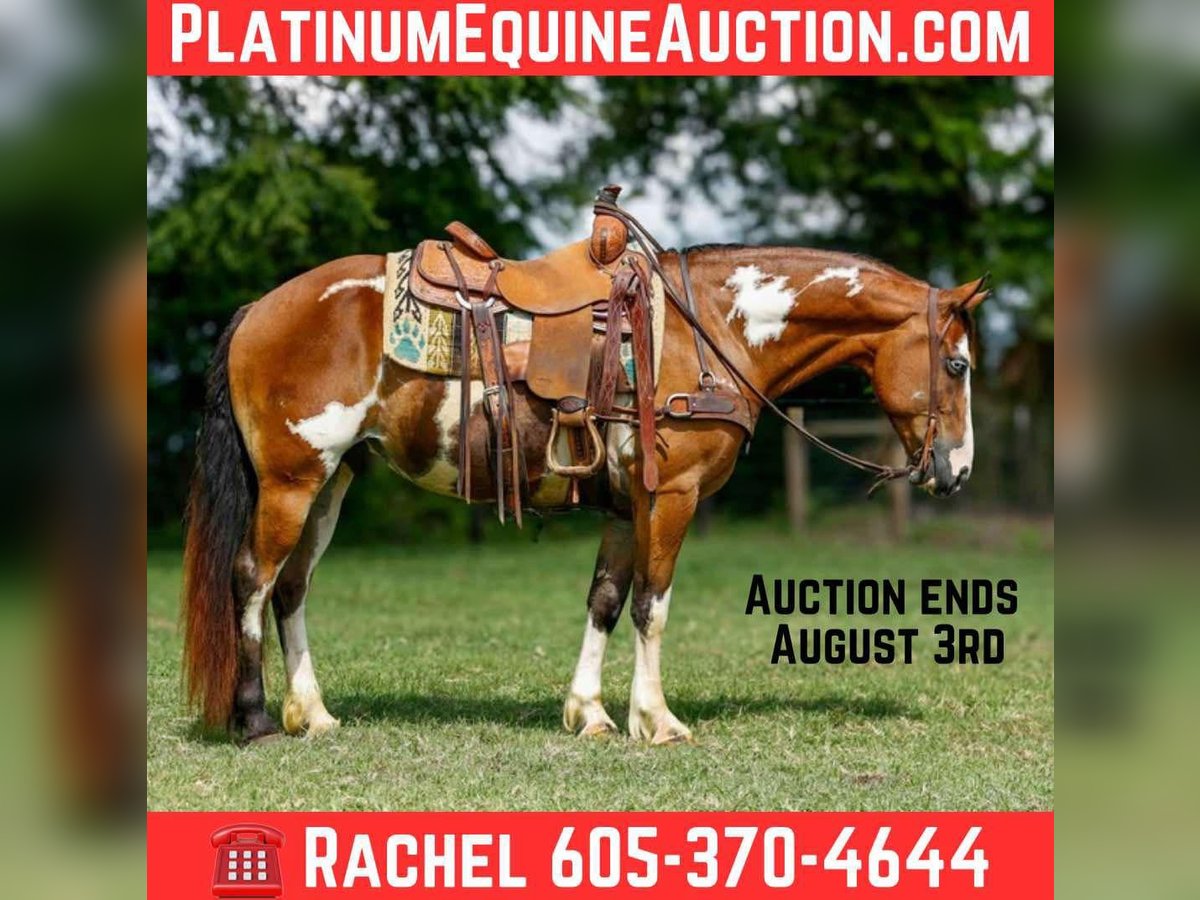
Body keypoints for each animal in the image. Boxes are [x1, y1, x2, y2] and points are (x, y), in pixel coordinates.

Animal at [182, 235, 987, 745]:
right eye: (957, 366)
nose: (958, 470)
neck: (708, 332)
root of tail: (257, 309)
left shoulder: (628, 506)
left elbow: (604, 601)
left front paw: (590, 713)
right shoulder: (672, 496)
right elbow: (652, 606)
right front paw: (657, 721)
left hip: (332, 481)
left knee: (291, 590)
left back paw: (313, 715)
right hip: (292, 480)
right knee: (251, 580)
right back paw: (255, 720)